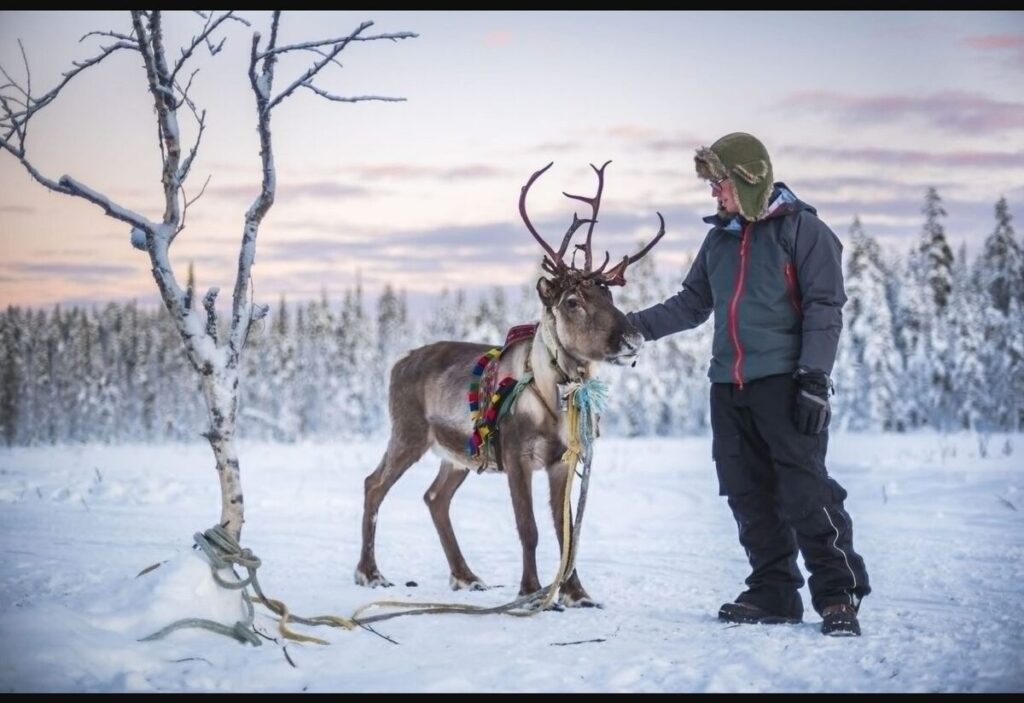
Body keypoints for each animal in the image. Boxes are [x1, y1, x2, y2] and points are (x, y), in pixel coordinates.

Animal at [354, 161, 665, 608]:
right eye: (573, 301)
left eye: (609, 296)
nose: (632, 339)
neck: (555, 403)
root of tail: (399, 362)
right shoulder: (518, 456)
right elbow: (528, 528)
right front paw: (532, 591)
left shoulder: (562, 461)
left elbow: (567, 534)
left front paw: (577, 594)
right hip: (408, 433)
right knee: (374, 484)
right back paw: (371, 573)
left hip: (458, 455)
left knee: (435, 498)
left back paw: (466, 577)